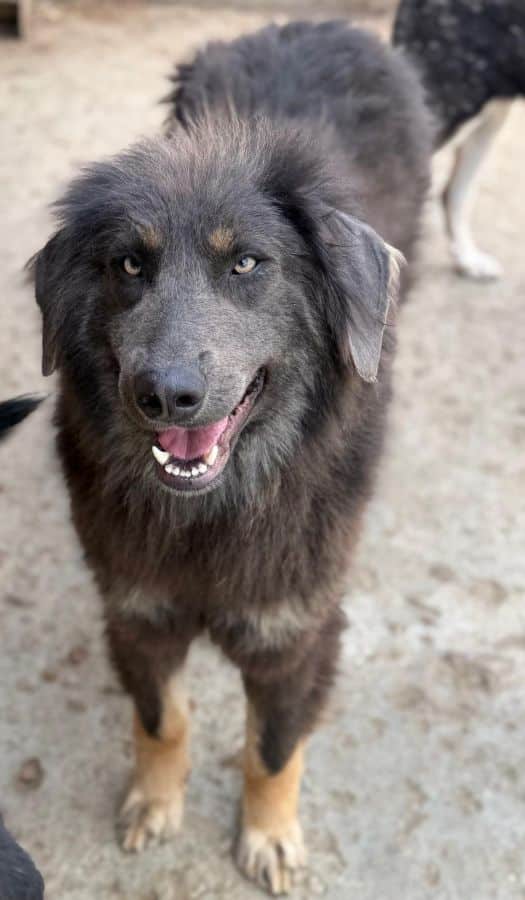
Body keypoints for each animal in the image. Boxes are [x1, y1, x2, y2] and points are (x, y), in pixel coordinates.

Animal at [24, 21, 431, 894]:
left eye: (246, 262)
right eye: (128, 263)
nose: (164, 394)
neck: (212, 515)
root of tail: (314, 24)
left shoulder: (295, 631)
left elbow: (272, 750)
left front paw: (269, 835)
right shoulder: (137, 609)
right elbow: (161, 720)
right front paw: (155, 800)